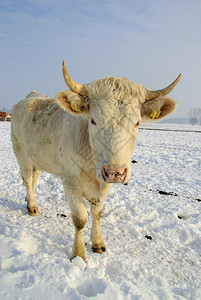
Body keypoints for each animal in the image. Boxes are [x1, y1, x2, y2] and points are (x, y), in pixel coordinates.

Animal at [11, 59, 181, 262]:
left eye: (137, 123)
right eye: (93, 120)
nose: (115, 172)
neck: (91, 163)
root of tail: (31, 96)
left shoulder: (103, 183)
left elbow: (97, 213)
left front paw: (98, 242)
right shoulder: (70, 181)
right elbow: (80, 218)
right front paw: (78, 256)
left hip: (36, 158)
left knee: (34, 178)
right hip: (21, 154)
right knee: (28, 180)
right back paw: (32, 206)